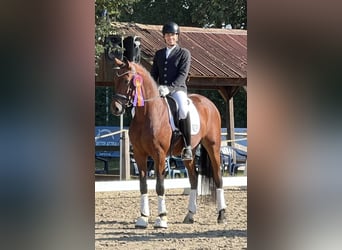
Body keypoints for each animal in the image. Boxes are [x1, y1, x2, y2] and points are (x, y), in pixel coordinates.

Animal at [111, 57, 226, 229]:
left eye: (126, 81)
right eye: (114, 80)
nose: (115, 108)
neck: (146, 115)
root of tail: (208, 103)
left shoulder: (159, 154)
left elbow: (160, 185)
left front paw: (162, 219)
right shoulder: (139, 154)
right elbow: (143, 185)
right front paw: (143, 218)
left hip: (213, 146)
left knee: (218, 177)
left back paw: (221, 215)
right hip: (190, 153)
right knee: (194, 178)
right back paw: (190, 215)